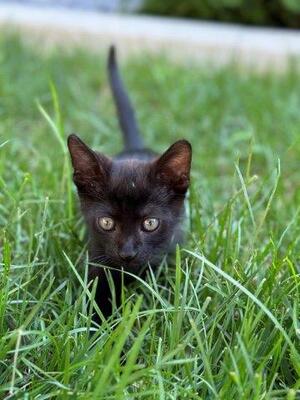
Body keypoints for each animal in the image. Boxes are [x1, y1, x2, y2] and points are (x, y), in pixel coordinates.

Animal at [67, 46, 192, 318]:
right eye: (106, 222)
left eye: (150, 223)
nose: (127, 253)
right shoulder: (98, 257)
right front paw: (97, 322)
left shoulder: (165, 255)